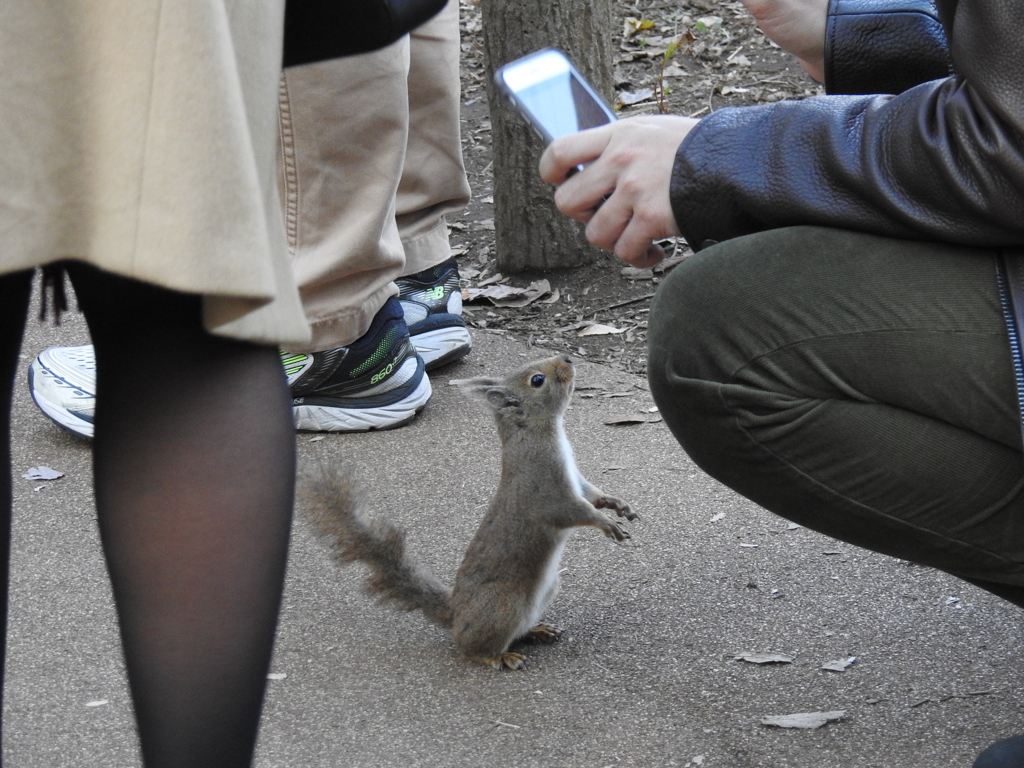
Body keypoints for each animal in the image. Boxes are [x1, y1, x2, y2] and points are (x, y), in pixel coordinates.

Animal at [299, 356, 634, 671]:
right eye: (537, 380)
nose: (567, 359)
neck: (539, 434)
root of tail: (456, 615)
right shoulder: (546, 490)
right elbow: (574, 511)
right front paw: (607, 524)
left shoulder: (576, 479)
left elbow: (592, 495)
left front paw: (617, 505)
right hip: (503, 606)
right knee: (474, 648)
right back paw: (502, 657)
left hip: (547, 590)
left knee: (517, 630)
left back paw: (538, 630)